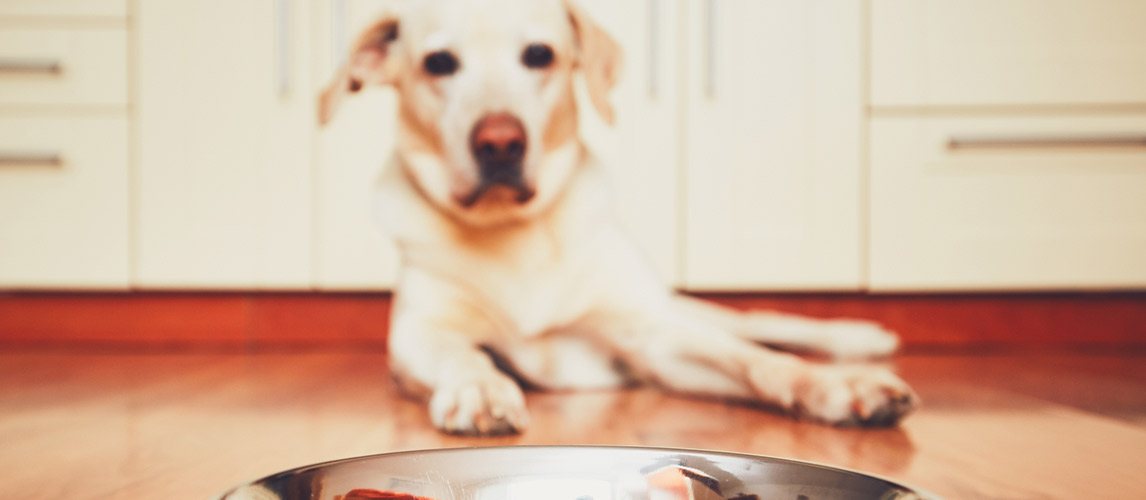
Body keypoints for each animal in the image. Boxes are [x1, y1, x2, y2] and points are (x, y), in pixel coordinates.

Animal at [318, 0, 916, 435]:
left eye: (540, 54)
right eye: (439, 63)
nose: (500, 142)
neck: (516, 237)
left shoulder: (652, 335)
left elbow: (757, 361)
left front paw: (842, 388)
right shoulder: (419, 333)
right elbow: (459, 353)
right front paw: (480, 388)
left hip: (676, 306)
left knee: (758, 324)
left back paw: (857, 339)